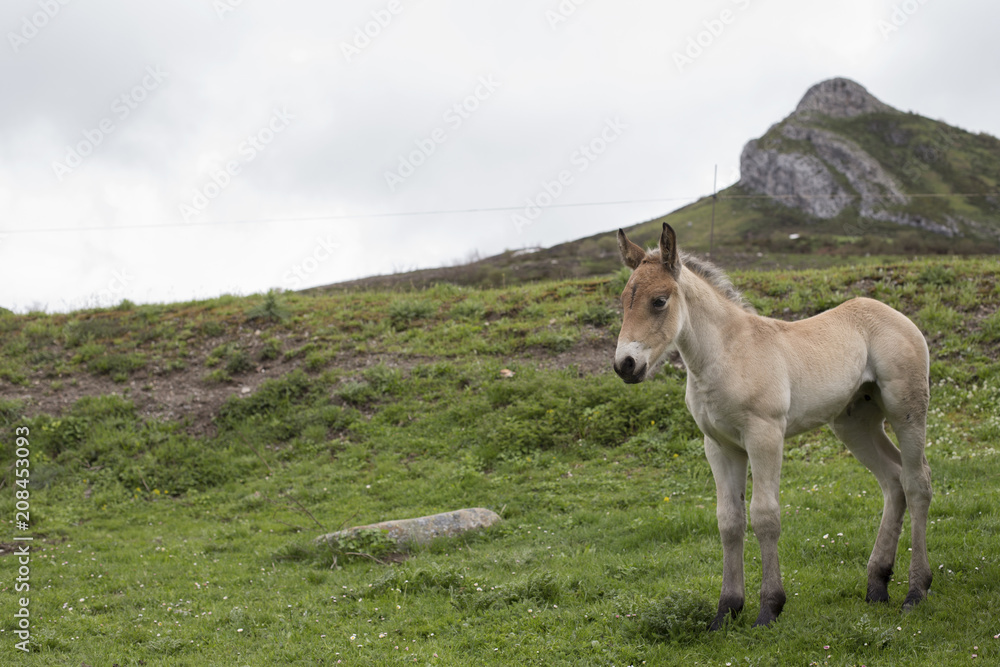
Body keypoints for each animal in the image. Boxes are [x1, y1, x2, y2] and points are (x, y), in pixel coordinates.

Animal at [613, 223, 932, 629]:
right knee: (893, 480)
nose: (625, 365)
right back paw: (877, 584)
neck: (728, 354)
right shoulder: (720, 446)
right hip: (854, 423)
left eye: (659, 301)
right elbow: (729, 520)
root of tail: (895, 314)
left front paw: (769, 608)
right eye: (624, 300)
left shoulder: (764, 436)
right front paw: (726, 610)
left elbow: (765, 515)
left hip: (907, 410)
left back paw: (916, 590)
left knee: (917, 482)